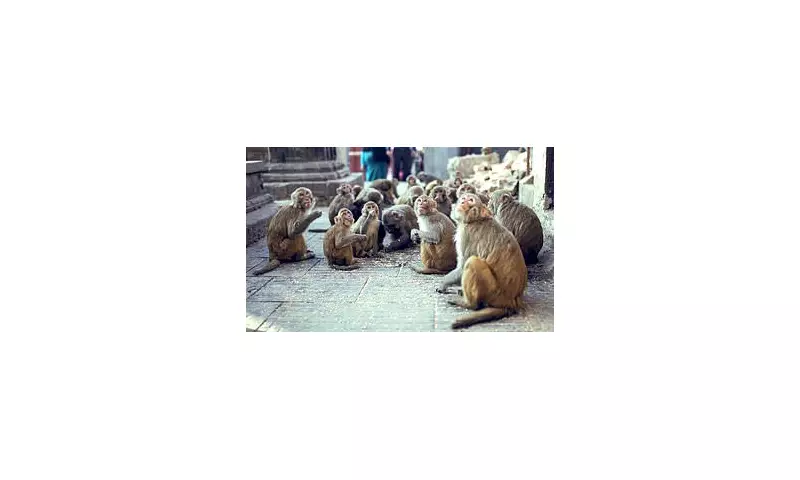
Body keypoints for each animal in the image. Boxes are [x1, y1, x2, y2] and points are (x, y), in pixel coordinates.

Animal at [435, 193, 528, 329]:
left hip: (494, 293)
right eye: (464, 198)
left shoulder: (466, 234)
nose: (463, 201)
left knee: (472, 262)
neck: (473, 220)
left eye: (471, 200)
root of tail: (511, 302)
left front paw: (443, 283)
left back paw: (469, 304)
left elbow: (462, 266)